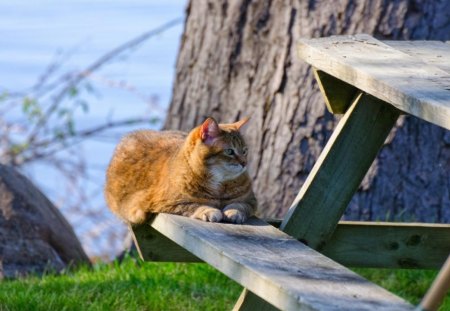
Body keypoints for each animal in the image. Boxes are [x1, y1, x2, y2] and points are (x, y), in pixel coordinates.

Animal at [103, 118, 255, 225]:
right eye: (229, 151)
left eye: (245, 151)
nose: (244, 163)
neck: (219, 185)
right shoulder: (167, 203)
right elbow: (193, 205)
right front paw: (209, 210)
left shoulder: (250, 200)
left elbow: (240, 205)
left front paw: (234, 211)